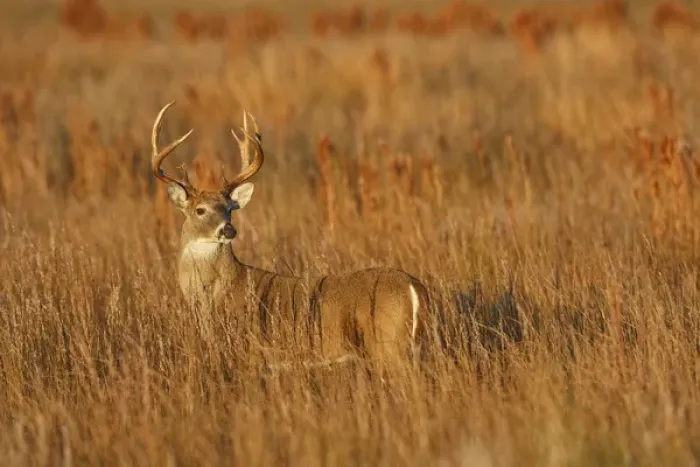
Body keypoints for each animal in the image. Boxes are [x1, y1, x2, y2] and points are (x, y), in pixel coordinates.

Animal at [150, 101, 430, 373]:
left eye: (229, 209)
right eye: (200, 210)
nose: (228, 230)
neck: (215, 293)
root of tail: (414, 287)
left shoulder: (250, 352)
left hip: (388, 345)